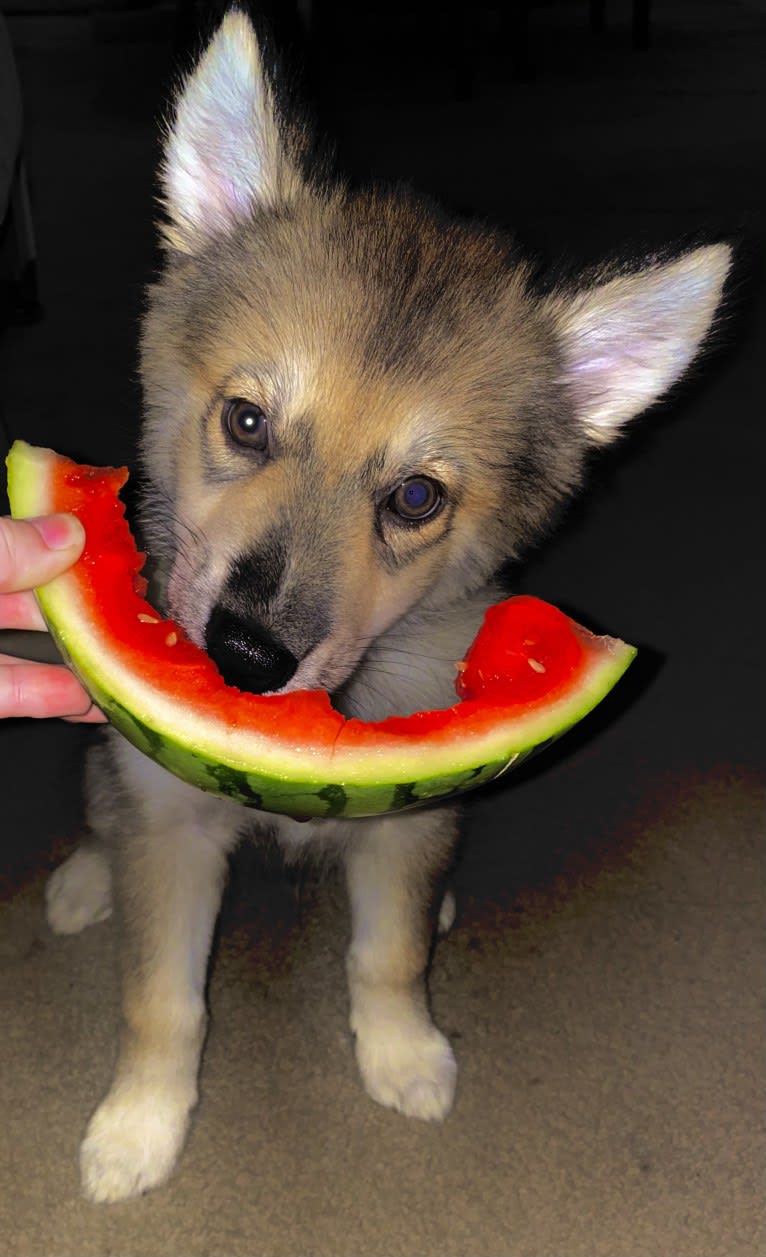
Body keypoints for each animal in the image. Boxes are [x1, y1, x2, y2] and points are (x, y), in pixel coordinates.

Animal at [44, 12, 729, 1206]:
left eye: (415, 499)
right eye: (246, 420)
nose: (246, 656)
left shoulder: (406, 825)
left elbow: (389, 954)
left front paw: (404, 1054)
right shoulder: (171, 827)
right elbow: (162, 1000)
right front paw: (139, 1128)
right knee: (100, 806)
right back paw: (87, 878)